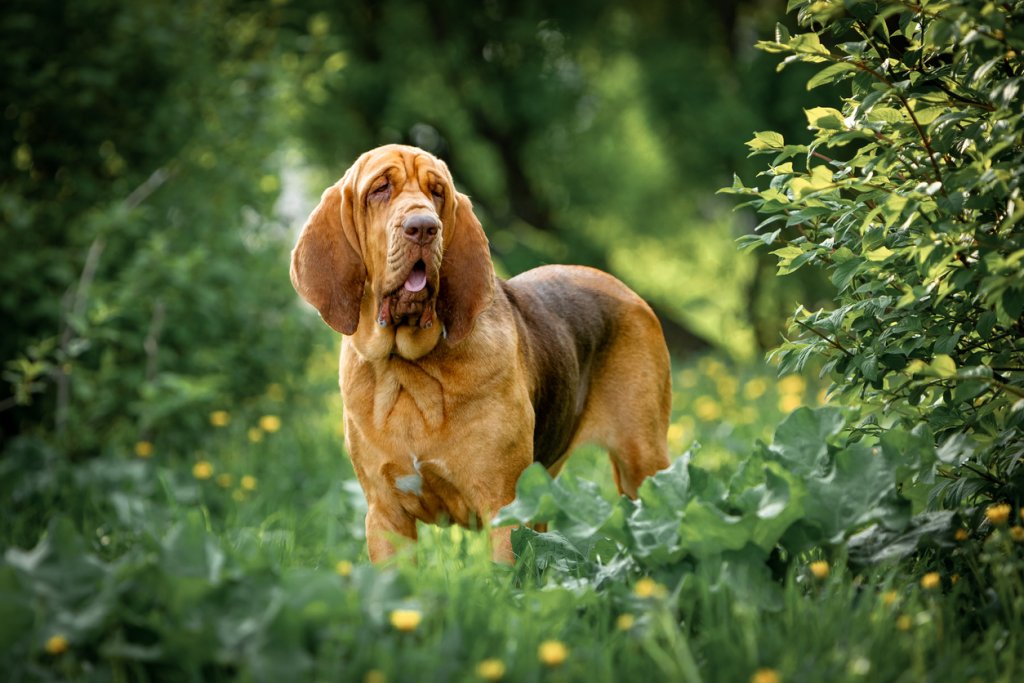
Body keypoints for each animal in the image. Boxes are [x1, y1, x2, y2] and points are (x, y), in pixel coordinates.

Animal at [290, 143, 671, 561]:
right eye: (379, 189)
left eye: (437, 192)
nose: (423, 227)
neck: (409, 369)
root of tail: (628, 292)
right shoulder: (386, 516)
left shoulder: (504, 508)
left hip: (643, 462)